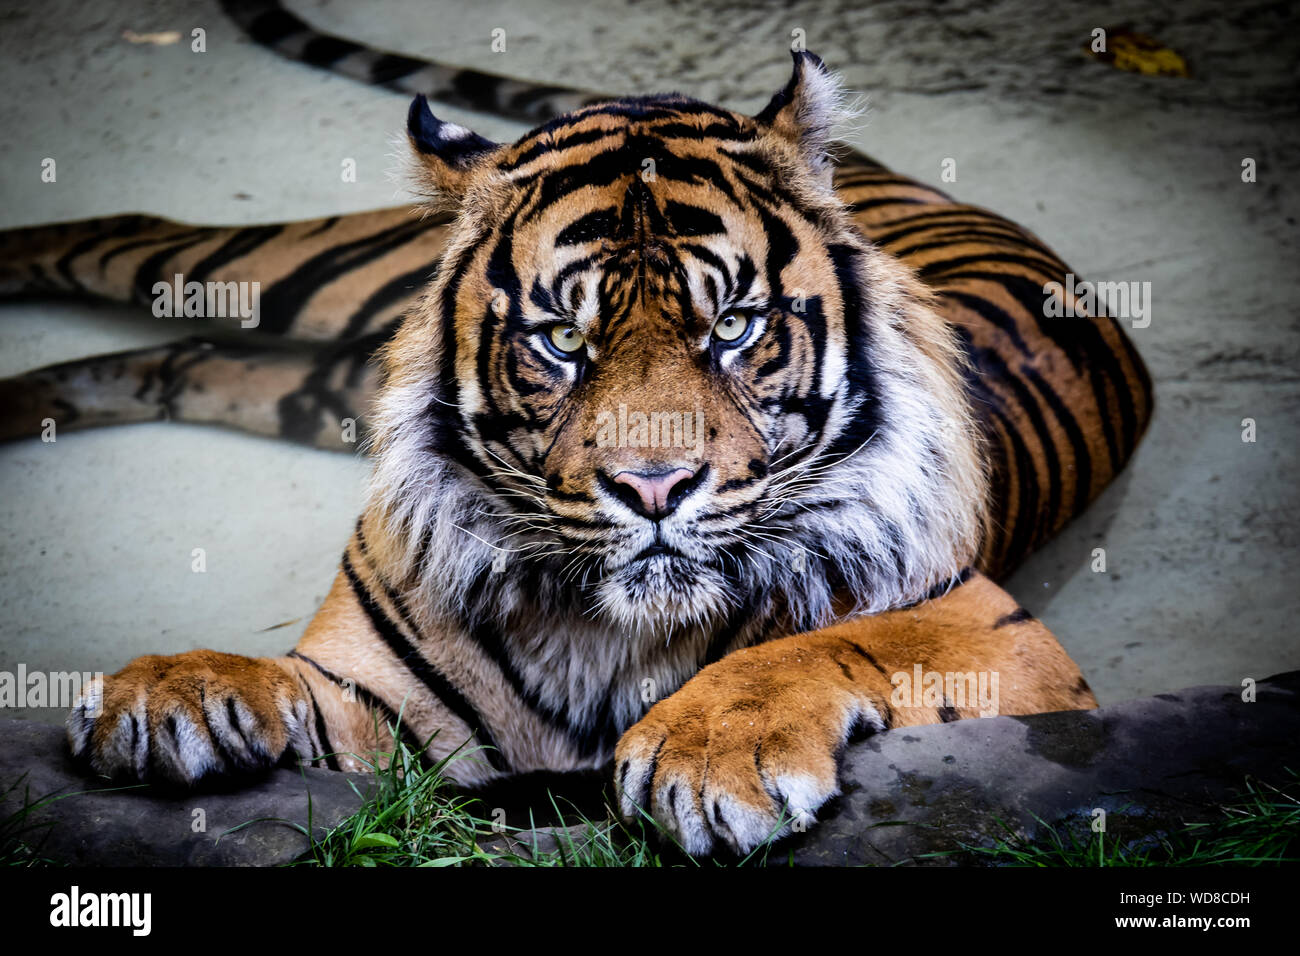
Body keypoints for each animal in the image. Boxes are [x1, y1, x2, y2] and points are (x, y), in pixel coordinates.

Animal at [0, 0, 1152, 857]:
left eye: (732, 325)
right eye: (562, 336)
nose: (653, 487)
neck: (599, 625)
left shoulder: (1001, 636)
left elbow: (834, 639)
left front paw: (709, 750)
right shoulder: (369, 696)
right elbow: (276, 676)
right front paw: (172, 688)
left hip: (310, 366)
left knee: (182, 351)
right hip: (313, 279)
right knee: (139, 238)